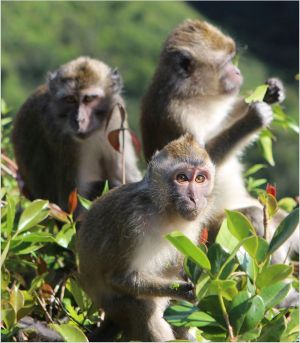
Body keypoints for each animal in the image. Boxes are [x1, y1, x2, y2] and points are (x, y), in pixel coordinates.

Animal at [12, 56, 141, 212]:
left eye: (89, 99)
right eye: (70, 99)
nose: (79, 120)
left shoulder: (115, 117)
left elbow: (126, 178)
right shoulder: (62, 139)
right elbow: (71, 206)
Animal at [77, 134, 216, 342]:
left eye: (200, 179)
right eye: (182, 178)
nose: (194, 198)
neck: (165, 213)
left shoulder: (194, 225)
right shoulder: (131, 221)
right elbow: (119, 277)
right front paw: (184, 291)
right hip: (116, 307)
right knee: (143, 308)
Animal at [140, 19, 298, 266]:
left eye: (233, 59)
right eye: (226, 62)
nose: (237, 71)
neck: (192, 96)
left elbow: (225, 118)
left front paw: (270, 91)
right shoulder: (177, 116)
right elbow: (197, 160)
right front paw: (254, 118)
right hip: (213, 234)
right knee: (252, 215)